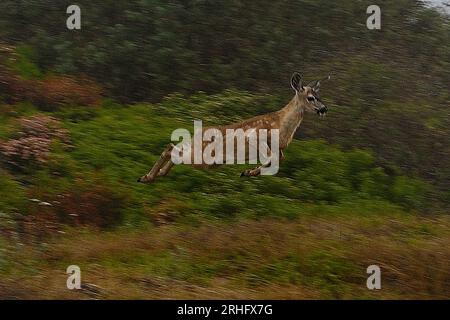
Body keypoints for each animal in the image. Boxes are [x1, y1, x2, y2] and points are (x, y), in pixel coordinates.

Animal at [137, 71, 330, 184]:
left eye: (319, 96)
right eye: (311, 97)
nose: (324, 109)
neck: (281, 124)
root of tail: (196, 134)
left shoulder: (281, 148)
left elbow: (278, 159)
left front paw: (248, 172)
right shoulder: (256, 136)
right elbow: (271, 158)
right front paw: (248, 172)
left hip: (203, 158)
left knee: (175, 151)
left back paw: (157, 175)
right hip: (202, 156)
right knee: (170, 148)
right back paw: (146, 177)